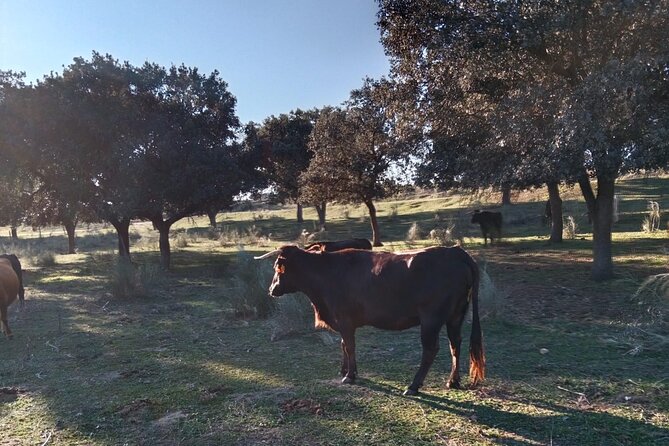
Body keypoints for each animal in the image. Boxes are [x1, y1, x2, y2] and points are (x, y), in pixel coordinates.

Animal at [253, 244, 482, 394]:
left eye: (277, 267)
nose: (271, 290)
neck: (326, 273)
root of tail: (455, 251)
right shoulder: (343, 322)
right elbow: (344, 345)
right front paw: (345, 370)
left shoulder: (345, 320)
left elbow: (349, 346)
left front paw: (349, 375)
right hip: (455, 316)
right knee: (455, 344)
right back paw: (453, 381)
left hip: (431, 319)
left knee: (431, 349)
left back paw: (413, 386)